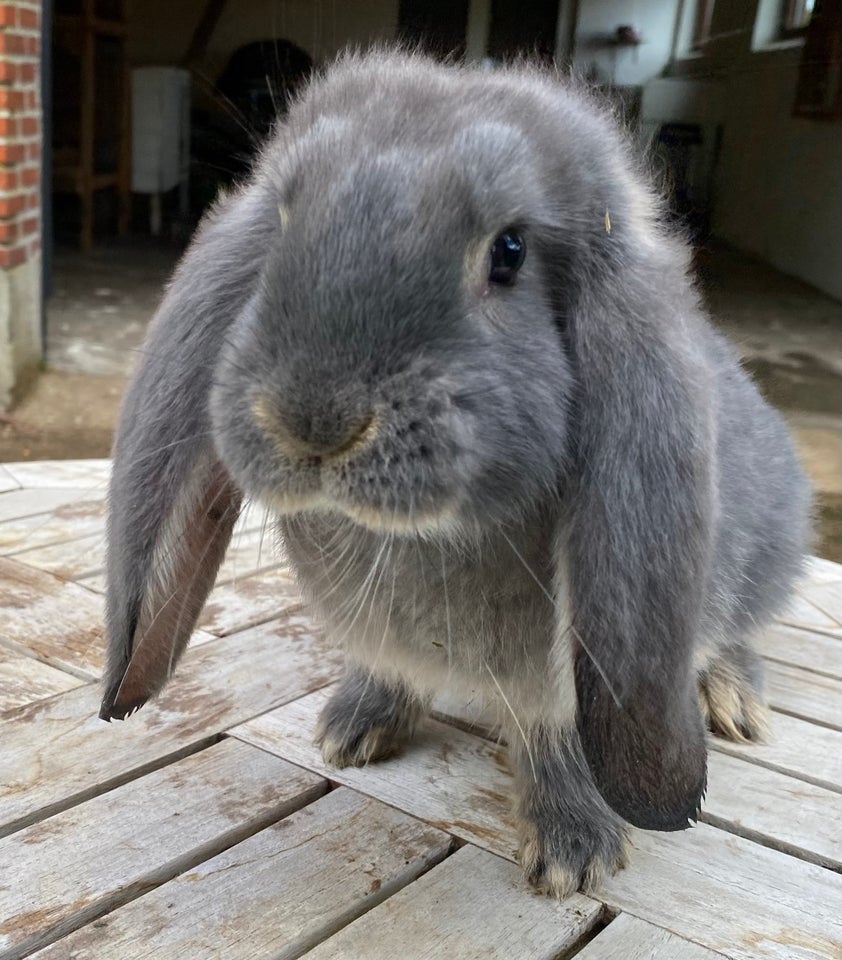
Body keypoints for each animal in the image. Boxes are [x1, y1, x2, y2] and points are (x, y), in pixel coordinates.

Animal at [98, 48, 808, 896]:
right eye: (282, 224)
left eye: (510, 252)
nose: (312, 422)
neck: (416, 543)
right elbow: (389, 672)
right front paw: (352, 727)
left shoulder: (559, 681)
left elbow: (554, 737)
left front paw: (575, 853)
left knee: (735, 634)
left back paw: (733, 701)